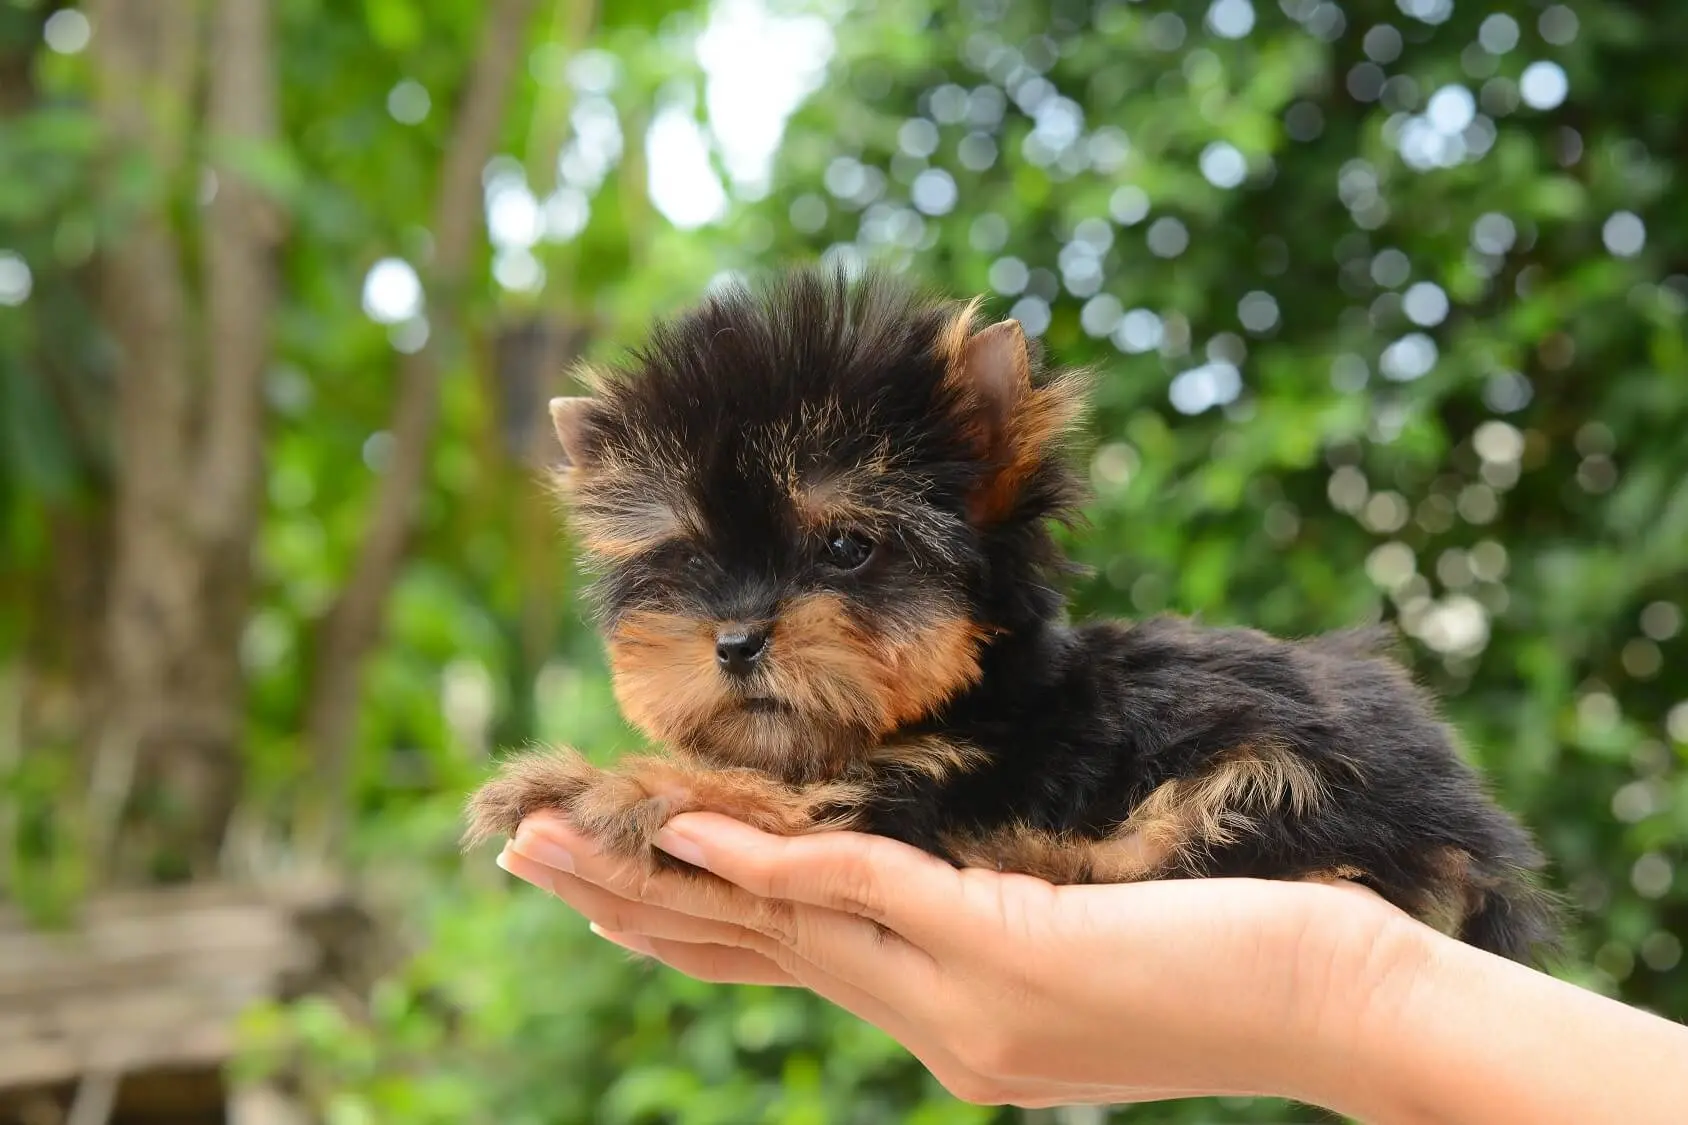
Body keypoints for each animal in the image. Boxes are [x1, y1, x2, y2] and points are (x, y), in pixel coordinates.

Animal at [462, 266, 1552, 959]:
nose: (733, 639)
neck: (965, 694)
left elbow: (795, 795)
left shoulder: (935, 776)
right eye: (687, 561)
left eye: (845, 548)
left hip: (1297, 767)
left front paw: (609, 781)